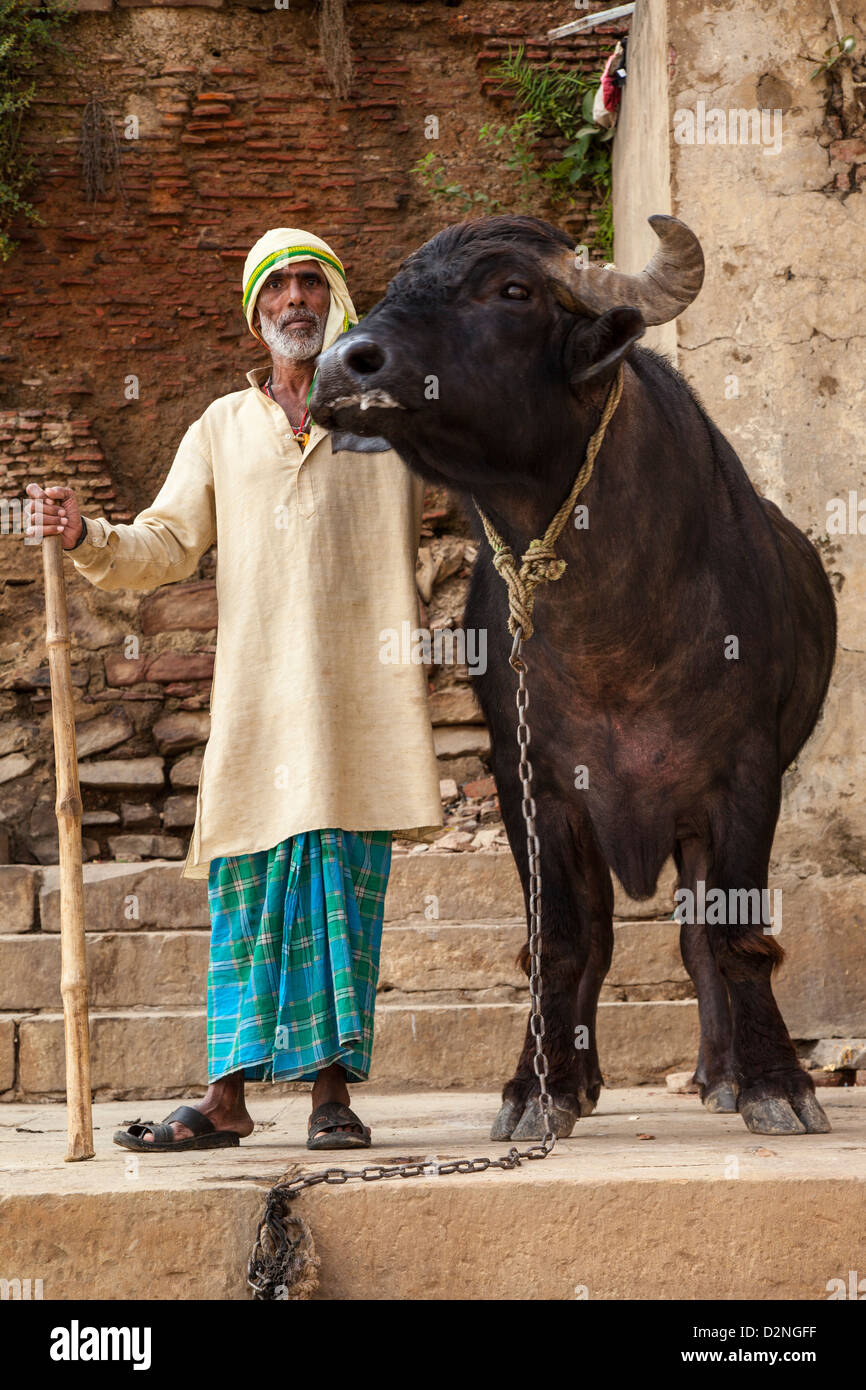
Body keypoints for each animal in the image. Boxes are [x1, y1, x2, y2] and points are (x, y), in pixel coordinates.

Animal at [308, 211, 839, 1134]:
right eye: (399, 283)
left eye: (513, 290)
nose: (344, 365)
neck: (613, 634)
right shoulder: (536, 782)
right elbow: (558, 941)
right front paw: (535, 1088)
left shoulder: (745, 779)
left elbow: (732, 938)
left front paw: (777, 1082)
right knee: (598, 937)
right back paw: (584, 1080)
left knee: (695, 940)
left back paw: (720, 1073)